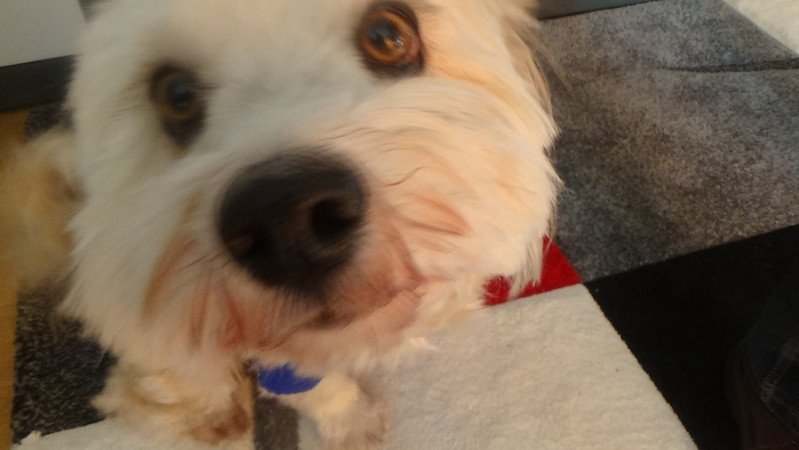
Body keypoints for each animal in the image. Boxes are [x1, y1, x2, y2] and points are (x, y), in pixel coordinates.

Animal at [4, 0, 559, 447]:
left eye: (388, 35)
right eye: (176, 95)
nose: (287, 223)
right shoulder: (284, 361)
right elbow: (318, 391)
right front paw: (352, 423)